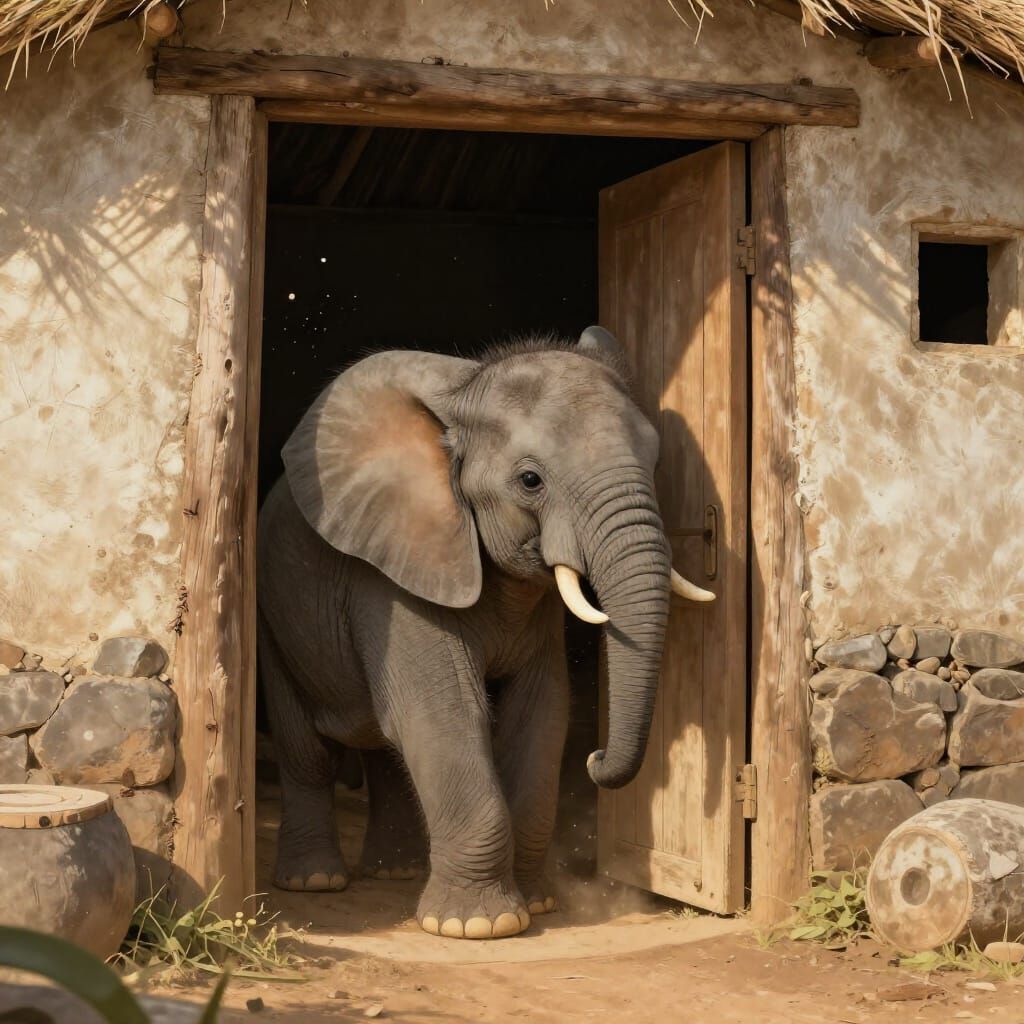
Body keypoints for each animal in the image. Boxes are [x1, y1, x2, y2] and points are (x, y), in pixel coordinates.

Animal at [256, 326, 713, 940]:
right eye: (530, 481)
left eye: (657, 460)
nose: (595, 759)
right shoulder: (395, 573)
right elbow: (443, 712)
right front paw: (477, 926)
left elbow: (541, 710)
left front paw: (536, 904)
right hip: (271, 616)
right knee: (309, 750)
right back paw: (315, 881)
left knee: (385, 746)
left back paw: (396, 873)